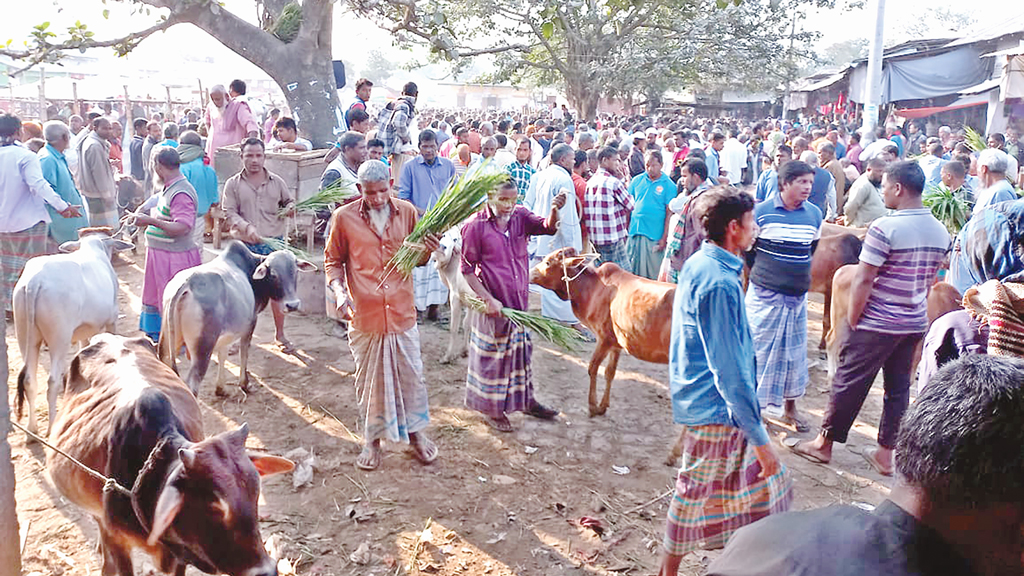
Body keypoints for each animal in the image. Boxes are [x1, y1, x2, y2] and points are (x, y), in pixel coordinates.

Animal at [14, 226, 133, 432]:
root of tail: (34, 282)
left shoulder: (84, 332)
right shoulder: (111, 321)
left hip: (25, 335)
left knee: (29, 379)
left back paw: (32, 430)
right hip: (59, 338)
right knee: (52, 381)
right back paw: (51, 426)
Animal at [155, 237, 313, 393]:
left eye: (295, 272)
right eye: (273, 274)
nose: (292, 305)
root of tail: (188, 283)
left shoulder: (225, 333)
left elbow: (223, 354)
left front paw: (220, 388)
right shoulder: (251, 323)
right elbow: (244, 352)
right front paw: (244, 384)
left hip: (168, 341)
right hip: (203, 348)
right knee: (192, 383)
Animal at [528, 243, 671, 414]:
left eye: (548, 262)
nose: (529, 273)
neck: (593, 287)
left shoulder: (604, 339)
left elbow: (593, 368)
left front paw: (593, 405)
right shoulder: (617, 343)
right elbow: (610, 372)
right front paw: (603, 405)